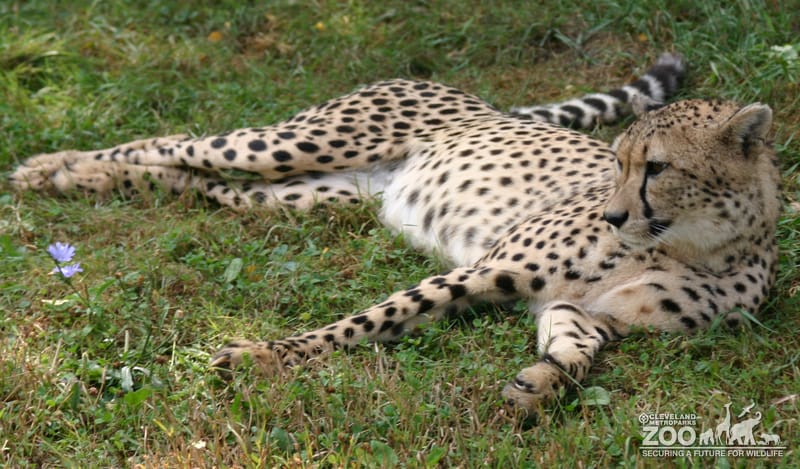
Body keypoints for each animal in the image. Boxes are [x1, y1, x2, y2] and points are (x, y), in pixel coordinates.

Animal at [10, 53, 781, 413]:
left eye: (658, 167)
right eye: (617, 163)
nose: (615, 215)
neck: (694, 243)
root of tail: (480, 102)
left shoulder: (579, 309)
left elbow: (576, 352)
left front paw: (539, 385)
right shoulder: (483, 271)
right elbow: (366, 321)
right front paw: (261, 355)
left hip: (309, 195)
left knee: (193, 181)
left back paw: (77, 179)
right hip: (298, 143)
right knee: (177, 142)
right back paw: (53, 166)